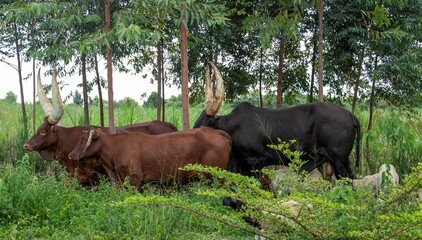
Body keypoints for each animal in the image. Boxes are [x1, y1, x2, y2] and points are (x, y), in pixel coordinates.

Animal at [193, 101, 362, 178]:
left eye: (203, 124)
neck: (234, 127)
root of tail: (350, 115)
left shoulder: (255, 161)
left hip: (340, 160)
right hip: (326, 157)